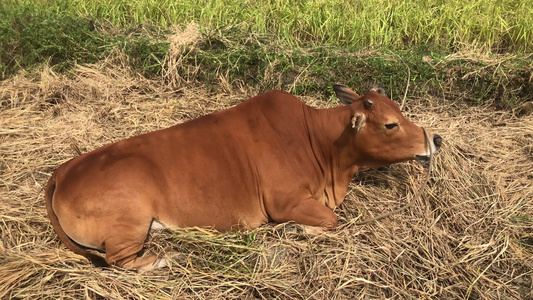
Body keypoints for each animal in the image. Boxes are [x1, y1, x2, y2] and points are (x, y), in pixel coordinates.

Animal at [43, 85, 440, 272]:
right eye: (390, 124)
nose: (434, 139)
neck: (321, 142)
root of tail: (62, 171)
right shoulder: (285, 201)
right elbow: (332, 220)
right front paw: (297, 230)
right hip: (130, 221)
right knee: (119, 260)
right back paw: (165, 258)